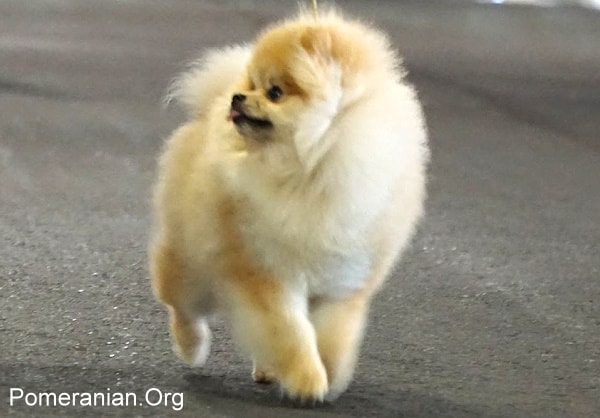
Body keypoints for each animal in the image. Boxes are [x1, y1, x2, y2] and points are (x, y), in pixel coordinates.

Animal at [151, 9, 432, 402]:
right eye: (252, 83)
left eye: (274, 92)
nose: (237, 96)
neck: (309, 173)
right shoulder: (268, 272)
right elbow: (289, 333)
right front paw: (307, 380)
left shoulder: (344, 281)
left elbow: (333, 336)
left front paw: (330, 372)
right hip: (193, 261)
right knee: (182, 306)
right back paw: (191, 347)